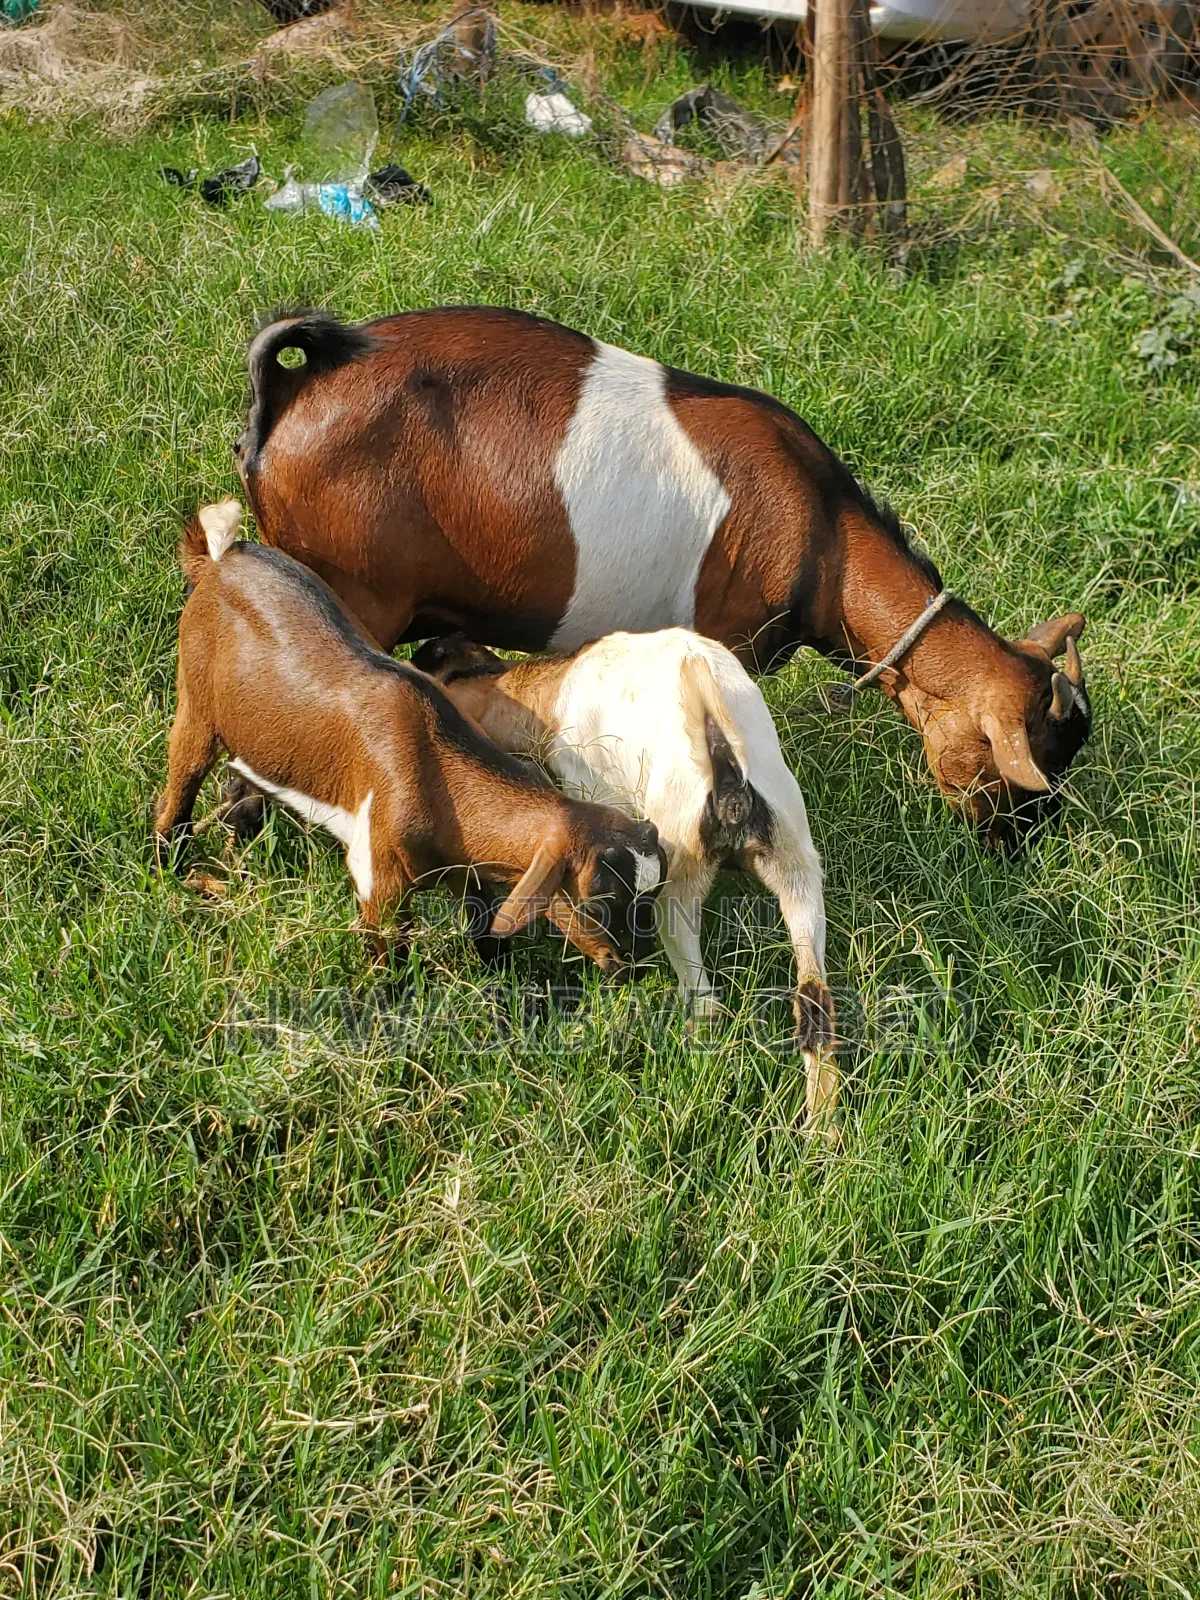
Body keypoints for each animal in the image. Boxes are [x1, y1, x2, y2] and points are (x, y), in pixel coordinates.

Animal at [153, 503, 666, 974]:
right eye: (597, 902)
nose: (635, 967)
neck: (438, 770)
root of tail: (220, 559)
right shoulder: (377, 875)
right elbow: (388, 955)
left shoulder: (466, 868)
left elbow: (484, 922)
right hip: (196, 703)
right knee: (178, 789)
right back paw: (168, 869)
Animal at [234, 305, 1091, 848]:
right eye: (1022, 772)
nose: (1017, 845)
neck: (824, 537)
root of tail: (296, 387)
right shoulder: (722, 644)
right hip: (353, 596)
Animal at [413, 628, 838, 1128]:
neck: (549, 692)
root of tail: (729, 771)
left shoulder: (593, 793)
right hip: (795, 862)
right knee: (814, 1002)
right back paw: (821, 1127)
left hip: (678, 882)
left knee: (705, 998)